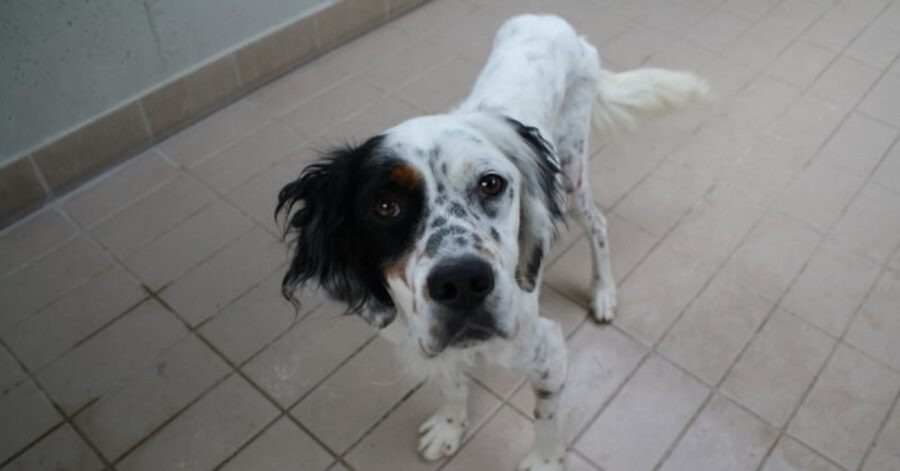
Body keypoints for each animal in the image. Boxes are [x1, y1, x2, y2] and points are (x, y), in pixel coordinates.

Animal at [276, 14, 712, 471]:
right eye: (385, 205)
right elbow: (451, 386)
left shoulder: (548, 355)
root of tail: (555, 22)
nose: (462, 282)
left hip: (571, 175)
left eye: (491, 183)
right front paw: (449, 427)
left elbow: (545, 418)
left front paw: (544, 460)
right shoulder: (431, 344)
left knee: (599, 226)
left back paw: (604, 293)